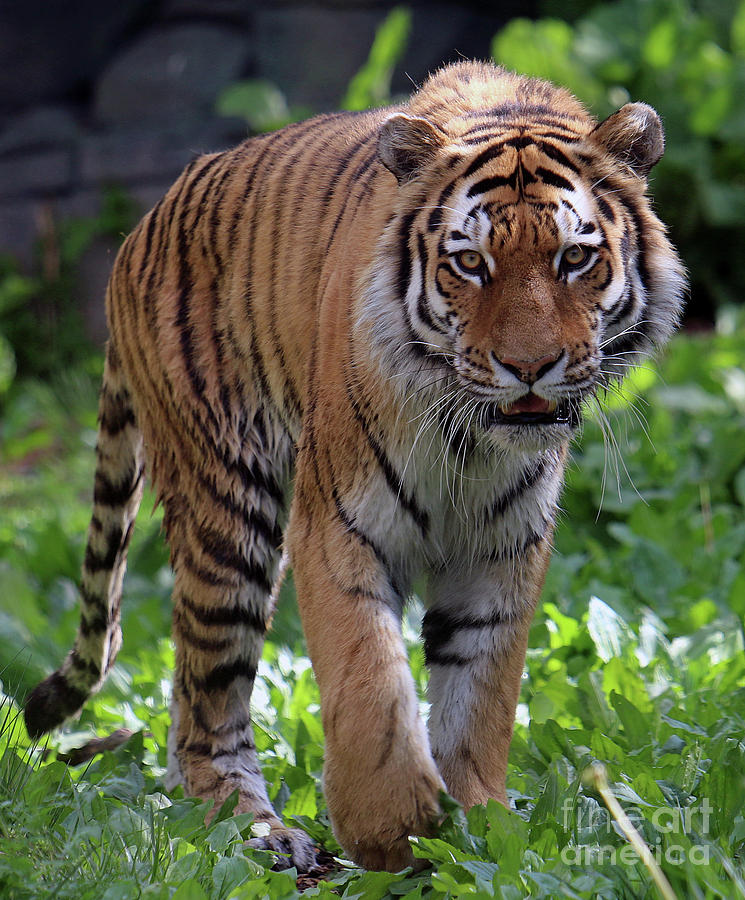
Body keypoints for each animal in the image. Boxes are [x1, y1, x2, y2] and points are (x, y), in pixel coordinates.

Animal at [24, 61, 684, 872]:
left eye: (575, 257)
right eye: (470, 262)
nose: (528, 368)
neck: (469, 438)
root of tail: (140, 230)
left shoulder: (502, 550)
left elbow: (481, 696)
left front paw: (477, 829)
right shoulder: (336, 526)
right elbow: (366, 678)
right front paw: (392, 829)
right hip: (228, 515)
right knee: (207, 700)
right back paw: (261, 833)